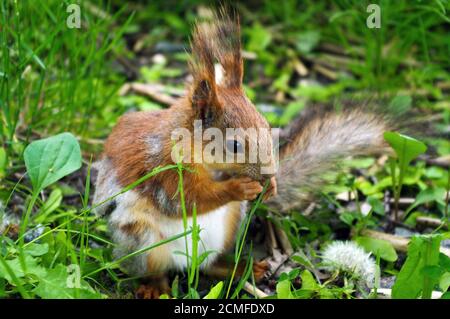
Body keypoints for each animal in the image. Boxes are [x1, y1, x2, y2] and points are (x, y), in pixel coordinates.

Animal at [94, 10, 394, 300]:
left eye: (267, 126)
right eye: (235, 145)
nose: (268, 174)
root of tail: (185, 263)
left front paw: (270, 186)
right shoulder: (161, 170)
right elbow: (184, 200)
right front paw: (236, 187)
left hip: (231, 224)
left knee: (209, 265)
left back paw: (240, 268)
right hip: (141, 240)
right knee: (152, 268)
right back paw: (155, 286)